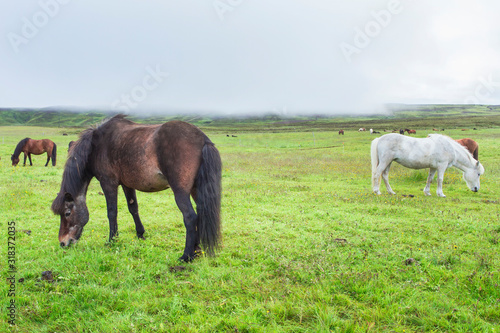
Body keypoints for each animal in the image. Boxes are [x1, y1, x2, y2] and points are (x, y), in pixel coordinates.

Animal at [51, 115, 222, 260]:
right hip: (196, 189)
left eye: (67, 213)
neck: (96, 146)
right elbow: (133, 208)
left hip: (180, 192)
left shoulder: (108, 183)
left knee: (190, 217)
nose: (63, 243)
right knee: (200, 213)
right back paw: (196, 249)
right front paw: (140, 234)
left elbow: (112, 212)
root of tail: (203, 139)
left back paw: (186, 255)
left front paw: (112, 240)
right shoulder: (127, 185)